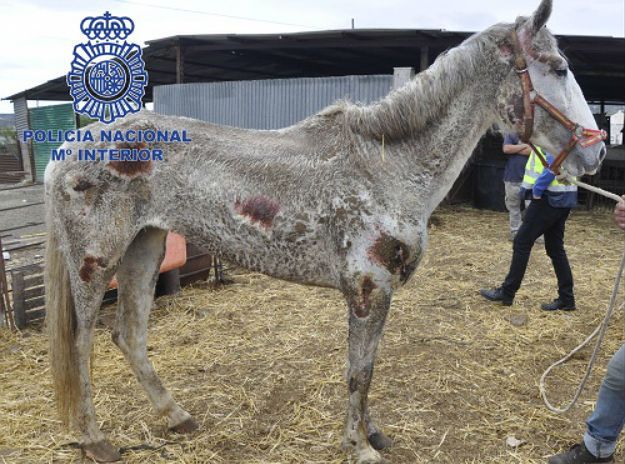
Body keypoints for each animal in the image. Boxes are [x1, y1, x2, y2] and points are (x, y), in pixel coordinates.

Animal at [44, 1, 604, 462]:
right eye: (558, 68)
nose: (596, 152)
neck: (386, 167)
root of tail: (66, 149)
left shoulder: (377, 292)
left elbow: (368, 366)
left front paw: (372, 433)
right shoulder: (368, 289)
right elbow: (359, 371)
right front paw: (359, 447)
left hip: (146, 247)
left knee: (129, 334)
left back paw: (178, 416)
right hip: (96, 261)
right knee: (81, 344)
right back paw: (95, 441)